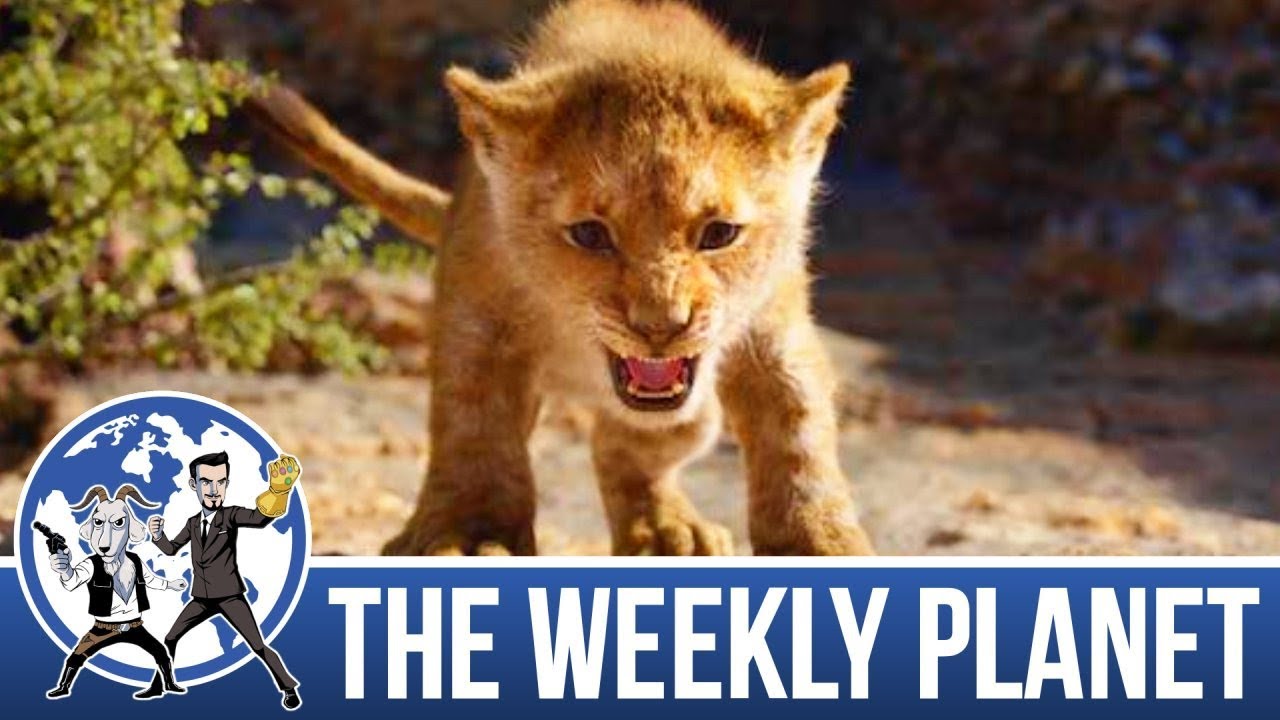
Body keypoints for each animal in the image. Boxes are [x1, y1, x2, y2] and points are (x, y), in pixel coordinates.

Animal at [247, 0, 875, 556]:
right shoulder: (478, 317)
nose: (660, 327)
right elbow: (475, 424)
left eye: (719, 232)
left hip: (694, 413)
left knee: (626, 444)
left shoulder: (775, 329)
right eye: (591, 235)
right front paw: (473, 536)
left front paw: (820, 542)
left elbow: (797, 432)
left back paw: (664, 531)